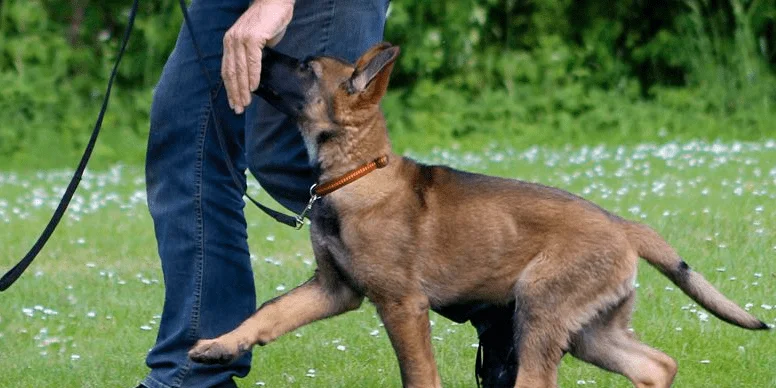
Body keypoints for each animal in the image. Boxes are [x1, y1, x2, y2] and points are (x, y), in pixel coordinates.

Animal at [189, 43, 768, 388]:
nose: (257, 48)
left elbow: (419, 376)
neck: (356, 175)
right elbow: (270, 313)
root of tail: (623, 225)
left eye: (305, 68)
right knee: (656, 365)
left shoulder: (402, 305)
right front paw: (220, 345)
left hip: (539, 311)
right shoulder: (334, 289)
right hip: (589, 330)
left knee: (542, 380)